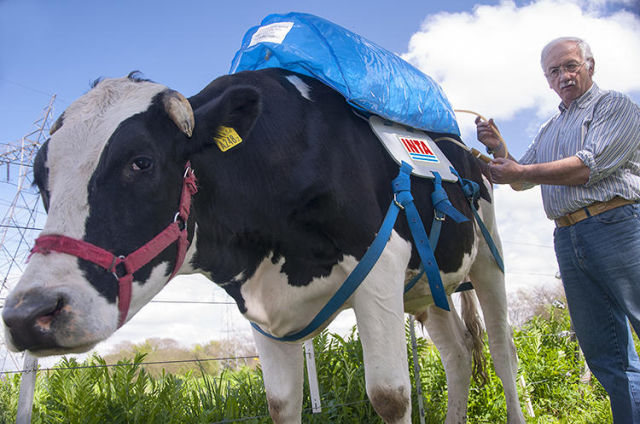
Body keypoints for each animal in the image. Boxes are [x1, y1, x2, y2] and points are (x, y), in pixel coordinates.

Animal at [2, 68, 524, 422]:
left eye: (141, 162)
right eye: (39, 179)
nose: (29, 315)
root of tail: (462, 148)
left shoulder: (381, 270)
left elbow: (390, 396)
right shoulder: (259, 303)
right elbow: (281, 402)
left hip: (489, 262)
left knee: (501, 353)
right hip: (426, 289)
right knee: (458, 354)